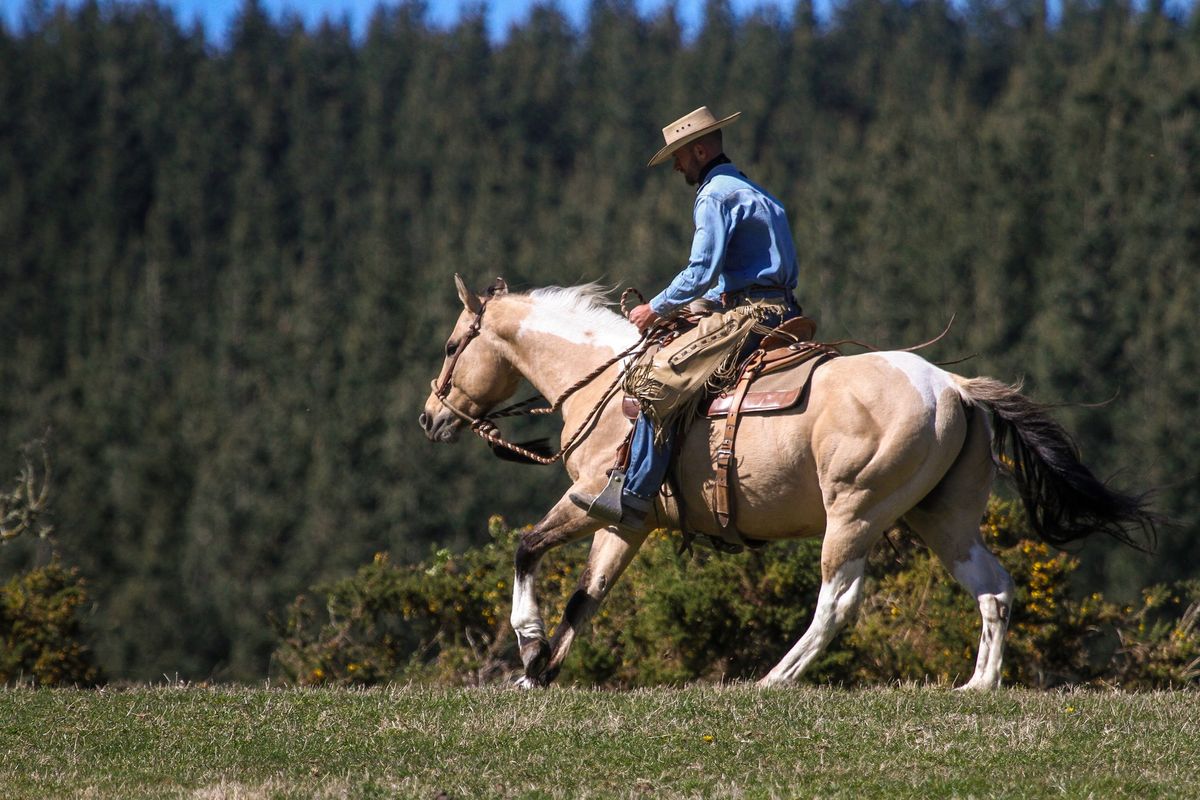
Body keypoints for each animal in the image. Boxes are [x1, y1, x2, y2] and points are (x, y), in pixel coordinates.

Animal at [420, 275, 1152, 690]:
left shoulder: (590, 503)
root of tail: (955, 386)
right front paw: (538, 674)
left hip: (855, 513)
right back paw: (978, 685)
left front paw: (528, 645)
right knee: (993, 587)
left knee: (838, 601)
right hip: (942, 519)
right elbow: (586, 597)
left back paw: (775, 678)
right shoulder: (627, 521)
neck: (607, 382)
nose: (431, 417)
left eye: (454, 345)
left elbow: (526, 548)